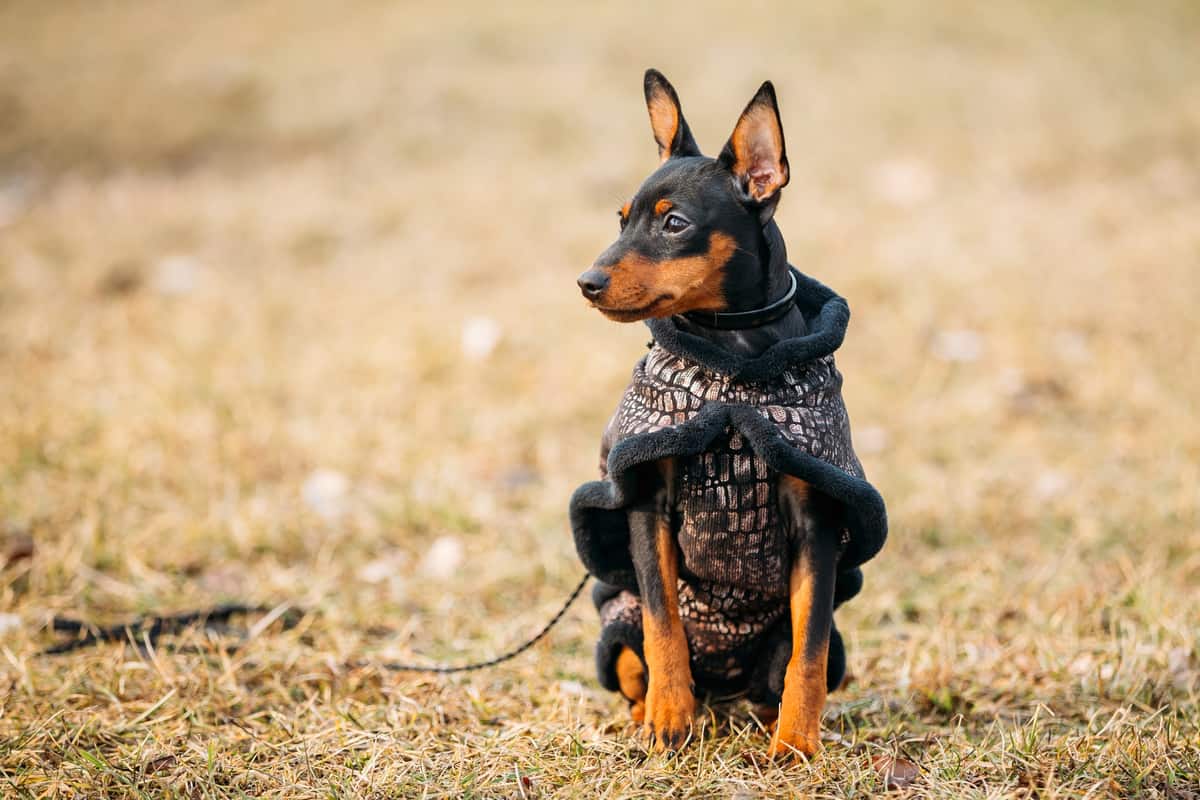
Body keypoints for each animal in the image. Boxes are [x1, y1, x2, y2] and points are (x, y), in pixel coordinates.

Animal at [566, 68, 888, 758]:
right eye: (621, 219)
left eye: (674, 224)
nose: (587, 283)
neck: (732, 358)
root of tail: (724, 689)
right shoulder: (647, 506)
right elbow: (664, 625)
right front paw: (669, 721)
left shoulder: (815, 522)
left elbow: (808, 650)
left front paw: (798, 743)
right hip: (617, 626)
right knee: (639, 657)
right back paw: (656, 710)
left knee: (784, 667)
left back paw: (768, 717)